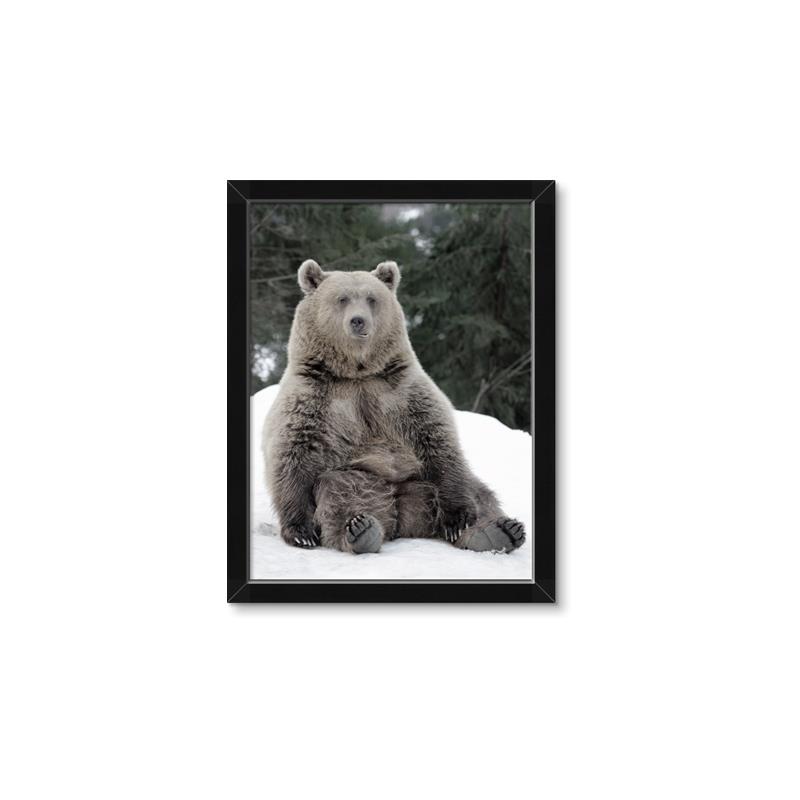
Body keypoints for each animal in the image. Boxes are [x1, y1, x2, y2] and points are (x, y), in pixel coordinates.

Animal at [262, 258, 526, 555]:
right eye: (342, 298)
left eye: (372, 298)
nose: (358, 320)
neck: (357, 372)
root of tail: (402, 513)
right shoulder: (314, 397)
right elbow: (293, 453)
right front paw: (301, 532)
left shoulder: (402, 391)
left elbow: (437, 440)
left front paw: (458, 520)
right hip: (360, 478)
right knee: (339, 493)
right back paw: (361, 530)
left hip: (422, 481)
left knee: (477, 491)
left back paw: (498, 531)